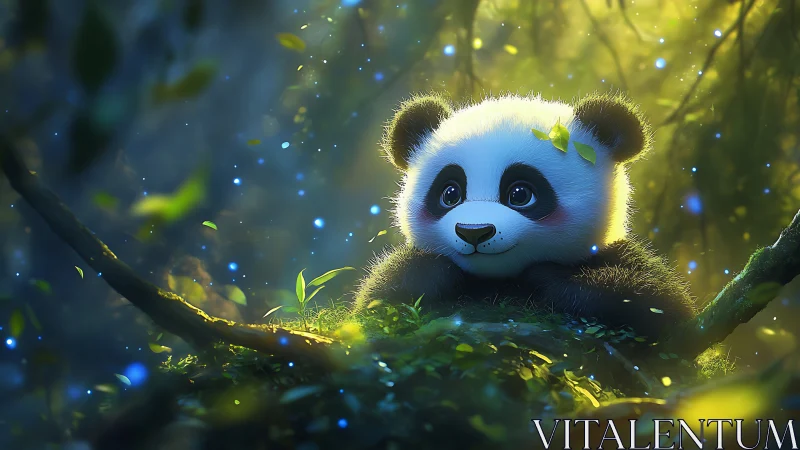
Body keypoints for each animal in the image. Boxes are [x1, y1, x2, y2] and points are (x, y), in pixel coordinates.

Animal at [353, 92, 698, 338]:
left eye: (520, 194)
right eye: (450, 194)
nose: (474, 231)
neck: (499, 281)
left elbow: (660, 306)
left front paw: (545, 277)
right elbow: (376, 301)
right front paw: (435, 272)